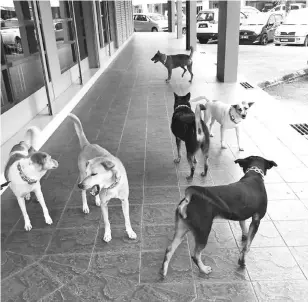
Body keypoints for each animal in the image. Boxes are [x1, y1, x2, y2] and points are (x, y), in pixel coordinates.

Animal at [69, 113, 138, 243]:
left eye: (94, 174)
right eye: (88, 173)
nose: (79, 185)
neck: (112, 185)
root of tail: (87, 145)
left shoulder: (124, 201)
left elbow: (127, 219)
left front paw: (130, 232)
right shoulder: (104, 204)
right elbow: (106, 221)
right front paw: (107, 234)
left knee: (93, 192)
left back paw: (95, 199)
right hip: (82, 176)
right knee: (83, 194)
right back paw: (85, 206)